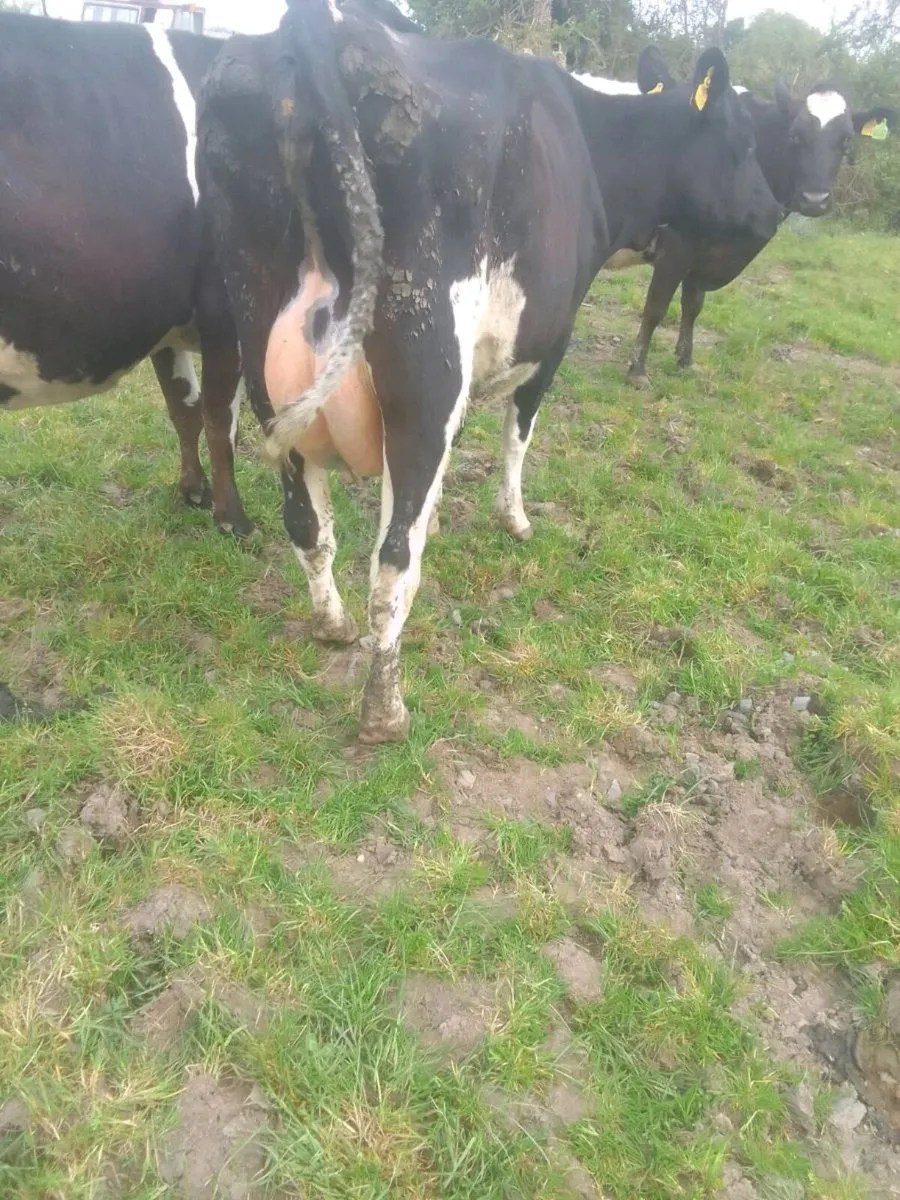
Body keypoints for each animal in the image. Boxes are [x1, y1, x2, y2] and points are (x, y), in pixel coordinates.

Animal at [0, 12, 253, 537]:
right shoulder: (224, 307)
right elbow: (219, 416)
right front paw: (233, 520)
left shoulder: (171, 316)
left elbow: (184, 408)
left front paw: (191, 493)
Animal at [196, 0, 781, 743]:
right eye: (745, 141)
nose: (772, 211)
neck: (593, 143)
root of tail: (317, 31)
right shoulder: (550, 337)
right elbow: (517, 433)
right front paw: (515, 519)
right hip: (424, 374)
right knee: (392, 561)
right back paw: (385, 710)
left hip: (268, 365)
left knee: (307, 525)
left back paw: (331, 625)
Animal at [615, 48, 895, 382]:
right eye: (794, 136)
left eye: (846, 141)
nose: (815, 199)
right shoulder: (677, 246)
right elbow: (656, 307)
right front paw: (637, 371)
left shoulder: (704, 254)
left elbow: (693, 304)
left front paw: (685, 360)